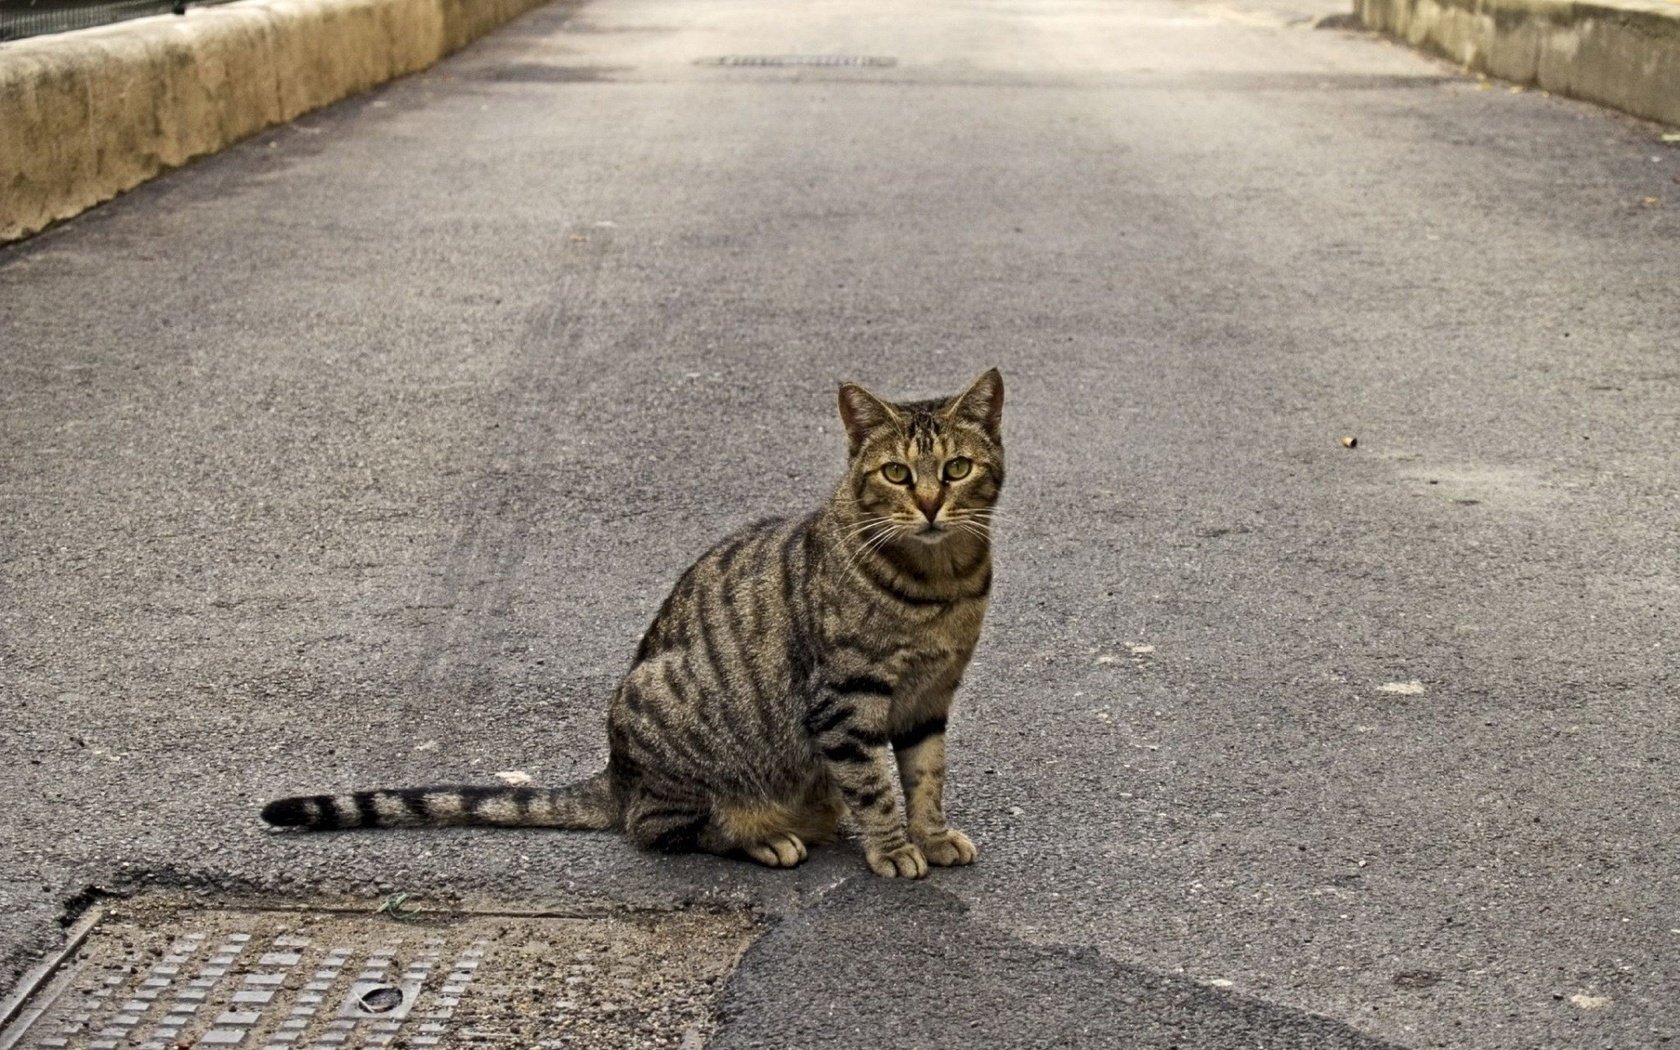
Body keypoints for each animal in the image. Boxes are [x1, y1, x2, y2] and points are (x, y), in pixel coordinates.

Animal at [258, 367, 994, 873]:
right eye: (896, 474)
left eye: (957, 467)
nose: (931, 504)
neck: (942, 582)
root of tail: (614, 772)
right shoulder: (844, 700)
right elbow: (874, 785)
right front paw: (893, 848)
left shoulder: (929, 698)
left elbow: (925, 776)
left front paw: (931, 835)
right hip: (667, 708)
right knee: (660, 827)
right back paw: (760, 836)